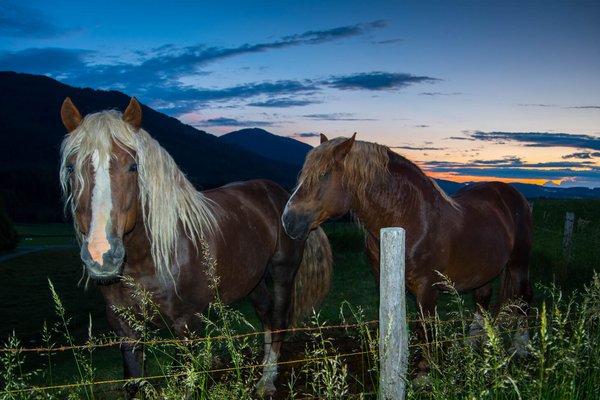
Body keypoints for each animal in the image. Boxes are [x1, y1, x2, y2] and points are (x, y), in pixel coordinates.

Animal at [59, 97, 332, 396]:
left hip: (283, 271)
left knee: (279, 319)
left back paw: (267, 380)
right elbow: (134, 382)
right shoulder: (125, 328)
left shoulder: (186, 324)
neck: (149, 259)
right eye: (71, 167)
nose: (101, 255)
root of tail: (281, 195)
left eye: (133, 167)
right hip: (253, 279)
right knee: (266, 316)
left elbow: (184, 380)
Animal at [282, 133, 536, 374]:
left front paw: (425, 371)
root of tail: (513, 194)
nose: (288, 220)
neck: (411, 219)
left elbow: (425, 327)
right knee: (482, 299)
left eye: (324, 174)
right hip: (484, 268)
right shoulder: (386, 281)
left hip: (519, 263)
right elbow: (393, 321)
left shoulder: (427, 288)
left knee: (523, 298)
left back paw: (520, 347)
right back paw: (473, 344)